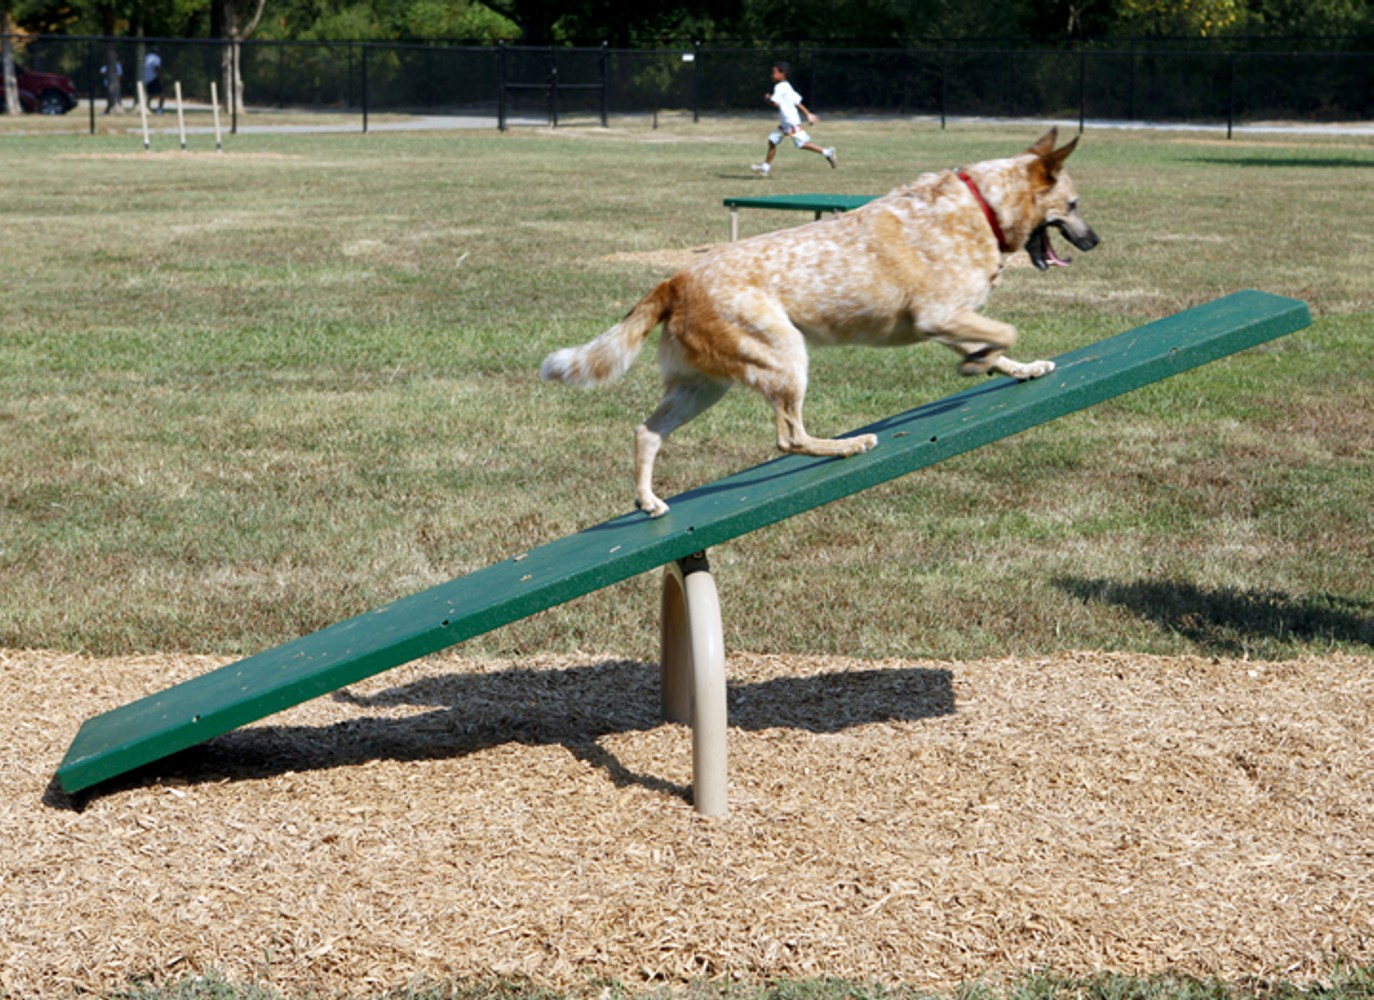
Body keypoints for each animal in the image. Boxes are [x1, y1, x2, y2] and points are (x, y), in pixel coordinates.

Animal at [541, 129, 1099, 519]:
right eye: (1073, 205)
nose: (1095, 240)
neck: (983, 206)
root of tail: (675, 280)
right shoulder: (938, 315)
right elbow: (1004, 333)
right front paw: (981, 363)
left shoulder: (950, 321)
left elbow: (999, 347)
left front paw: (1019, 368)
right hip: (785, 357)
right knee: (790, 437)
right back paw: (846, 445)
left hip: (702, 387)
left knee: (646, 431)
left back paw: (649, 501)